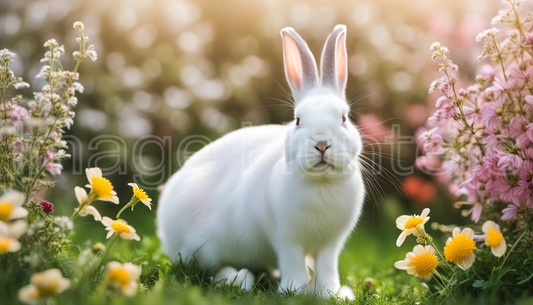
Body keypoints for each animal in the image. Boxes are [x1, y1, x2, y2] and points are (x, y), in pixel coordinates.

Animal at [156, 24, 364, 300]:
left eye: (344, 118)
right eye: (298, 120)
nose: (321, 144)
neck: (321, 183)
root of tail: (165, 231)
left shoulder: (330, 244)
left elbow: (327, 268)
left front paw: (331, 293)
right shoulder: (286, 238)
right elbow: (292, 262)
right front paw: (294, 290)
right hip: (204, 247)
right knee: (206, 269)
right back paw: (239, 279)